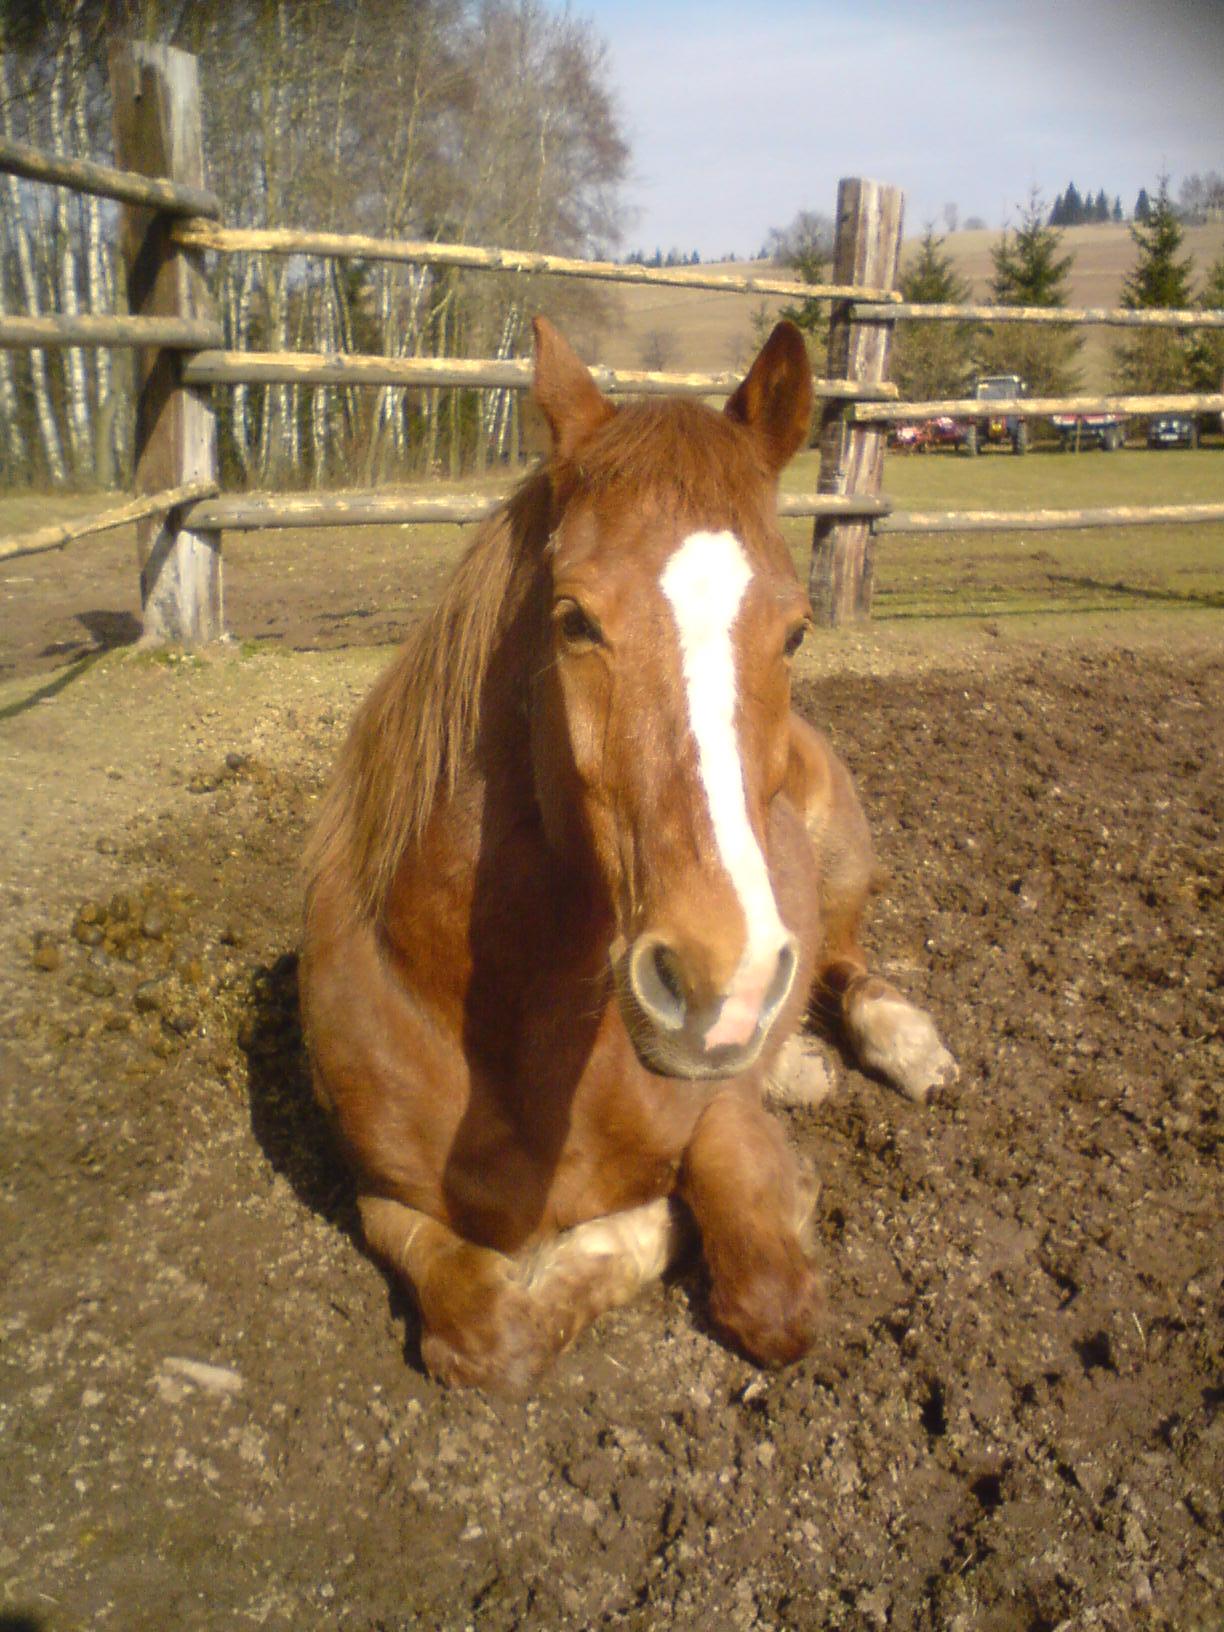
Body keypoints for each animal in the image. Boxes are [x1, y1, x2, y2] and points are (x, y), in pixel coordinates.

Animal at [300, 318, 959, 1390]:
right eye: (573, 620)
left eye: (796, 631)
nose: (721, 983)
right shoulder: (378, 1196)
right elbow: (484, 1328)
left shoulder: (722, 1119)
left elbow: (764, 1290)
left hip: (839, 875)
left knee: (847, 961)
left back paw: (898, 1045)